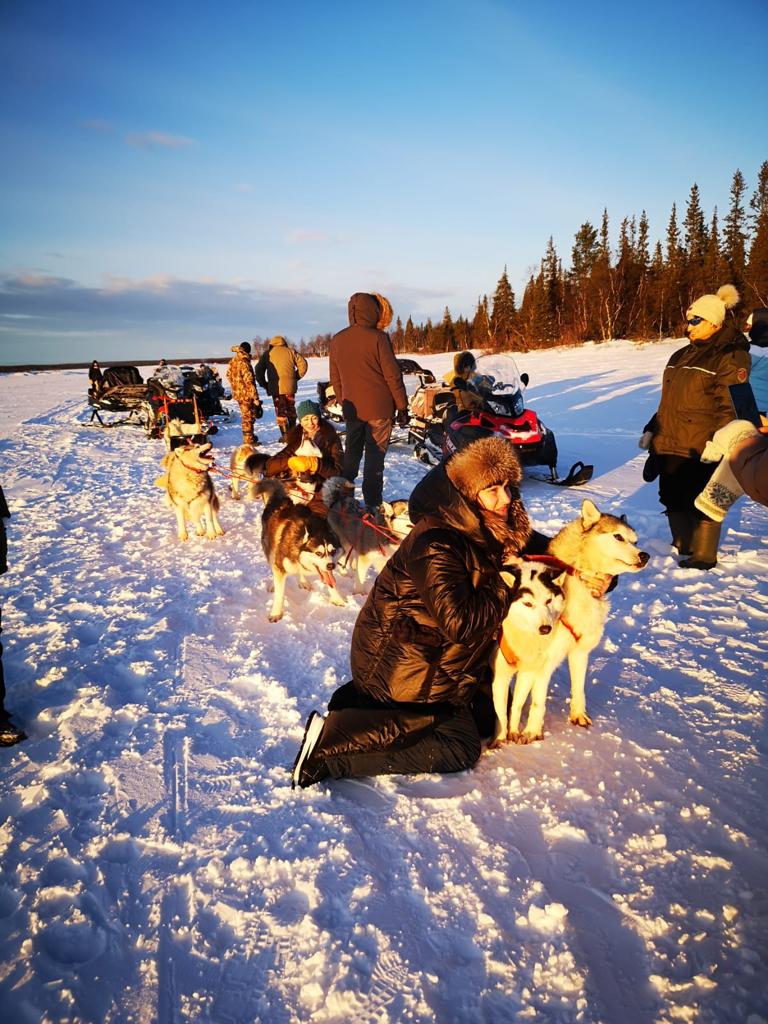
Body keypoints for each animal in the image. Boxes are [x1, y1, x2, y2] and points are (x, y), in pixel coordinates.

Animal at [493, 501, 651, 749]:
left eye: (635, 541)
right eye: (618, 536)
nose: (645, 555)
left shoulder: (580, 652)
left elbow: (579, 688)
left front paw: (578, 714)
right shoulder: (544, 661)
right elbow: (538, 701)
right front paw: (533, 731)